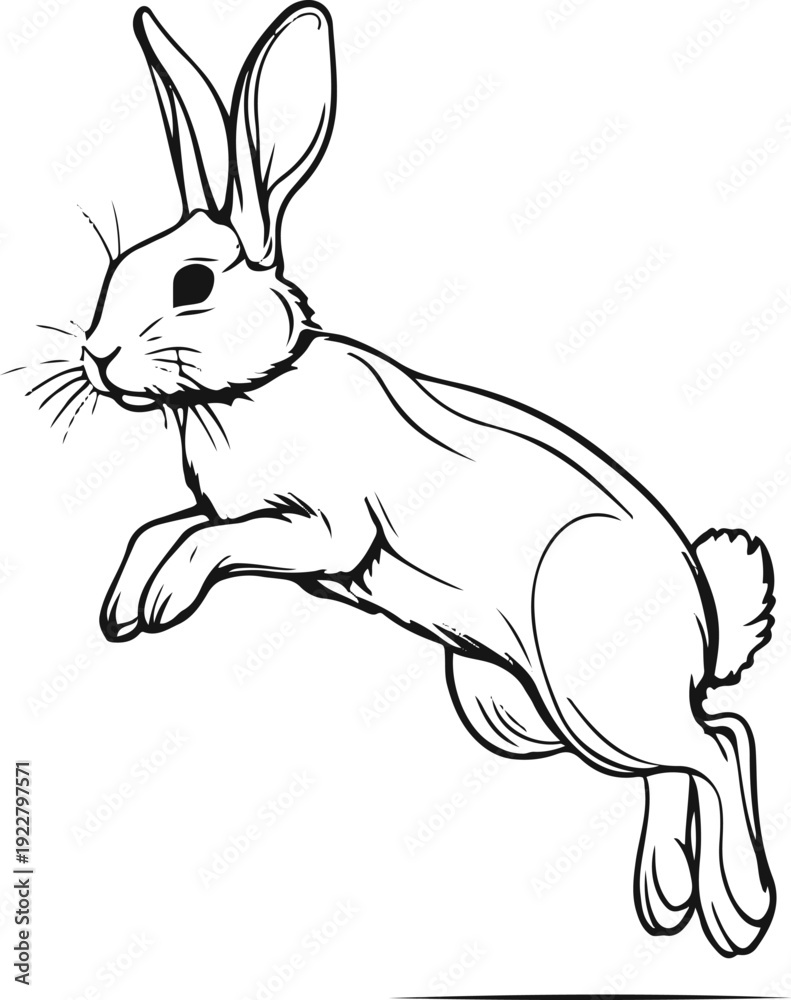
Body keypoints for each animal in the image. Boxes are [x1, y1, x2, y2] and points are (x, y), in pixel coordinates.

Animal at [48, 2, 776, 957]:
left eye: (192, 282)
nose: (96, 357)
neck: (257, 384)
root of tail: (701, 627)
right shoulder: (227, 513)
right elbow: (163, 527)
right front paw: (126, 603)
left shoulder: (325, 529)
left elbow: (220, 537)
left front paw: (163, 599)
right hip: (520, 711)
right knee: (667, 764)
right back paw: (663, 898)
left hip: (590, 684)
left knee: (719, 743)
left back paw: (739, 913)